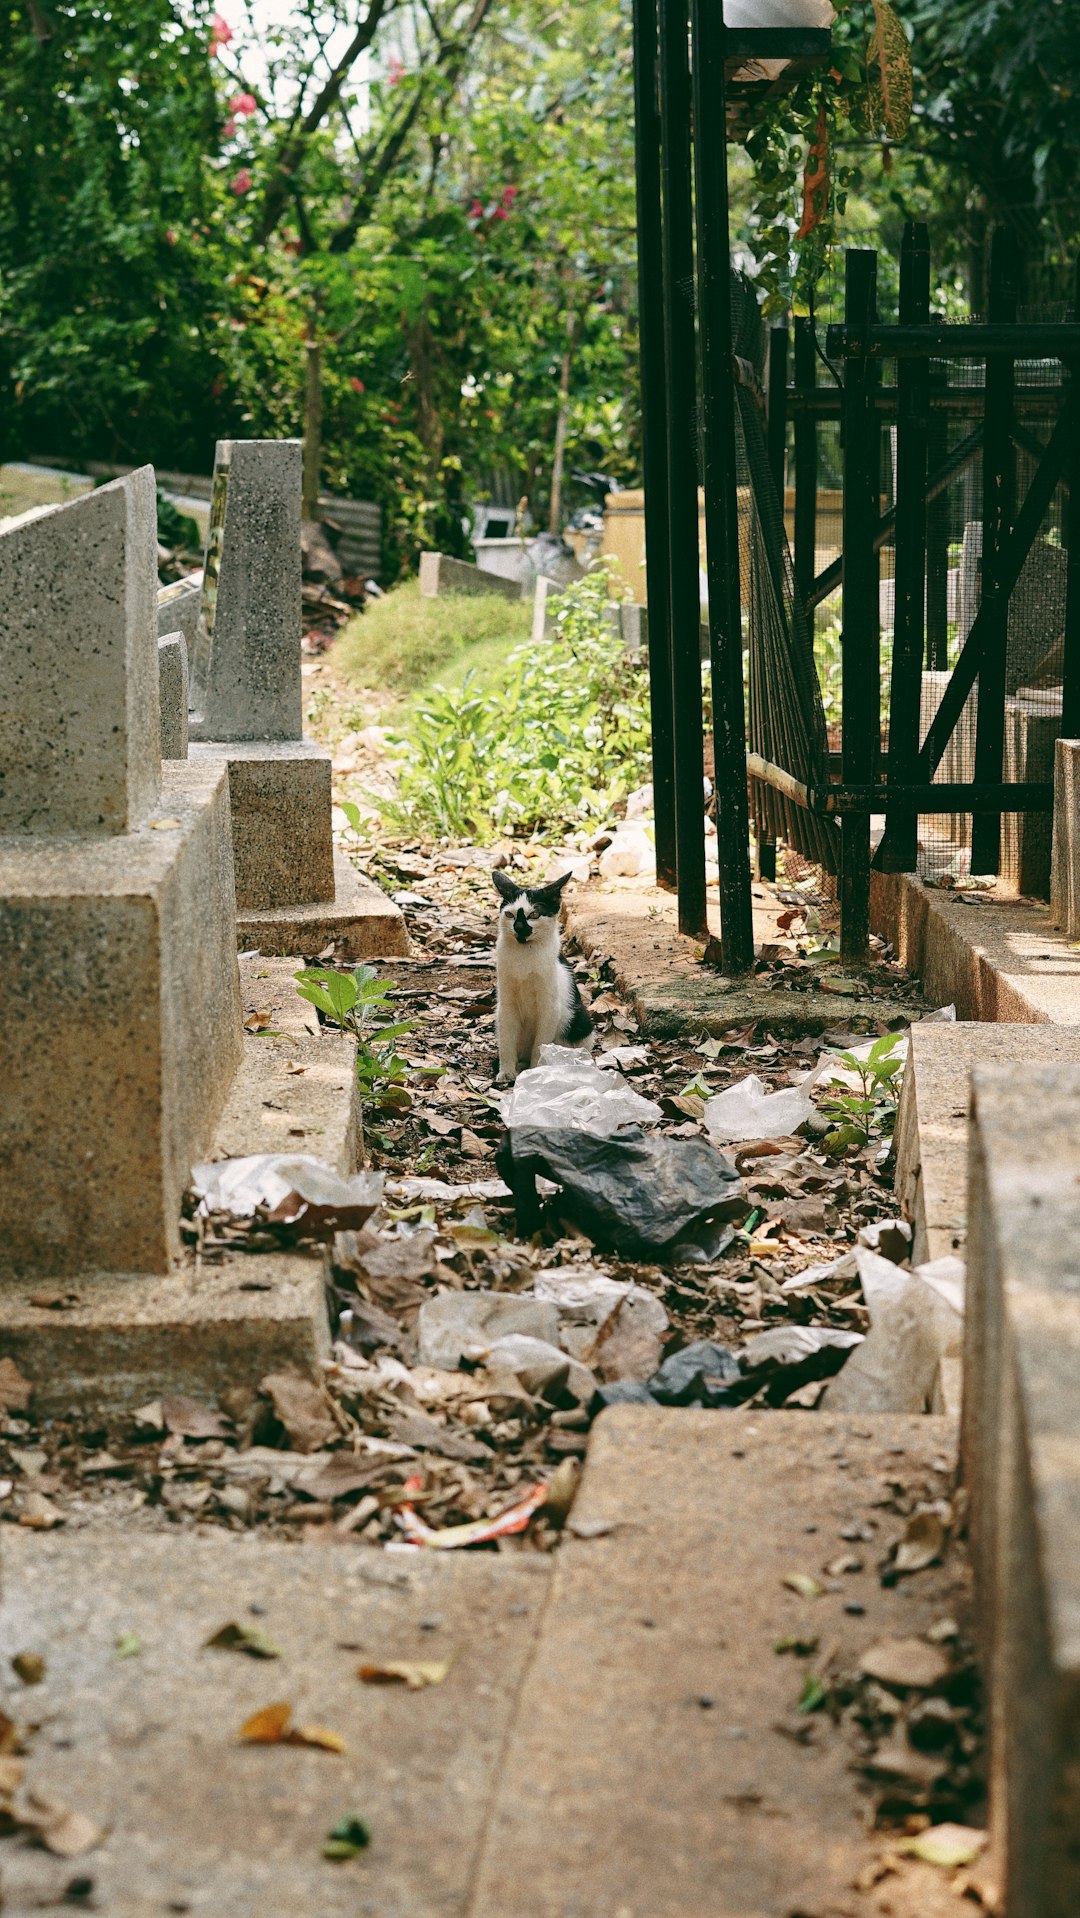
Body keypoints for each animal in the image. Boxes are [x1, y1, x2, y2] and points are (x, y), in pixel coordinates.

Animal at [494, 870, 594, 1081]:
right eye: (509, 914)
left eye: (534, 914)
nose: (519, 928)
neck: (525, 955)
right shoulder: (506, 1005)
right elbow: (506, 1042)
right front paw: (506, 1071)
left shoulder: (550, 1008)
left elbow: (539, 1046)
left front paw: (535, 1071)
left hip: (579, 1020)